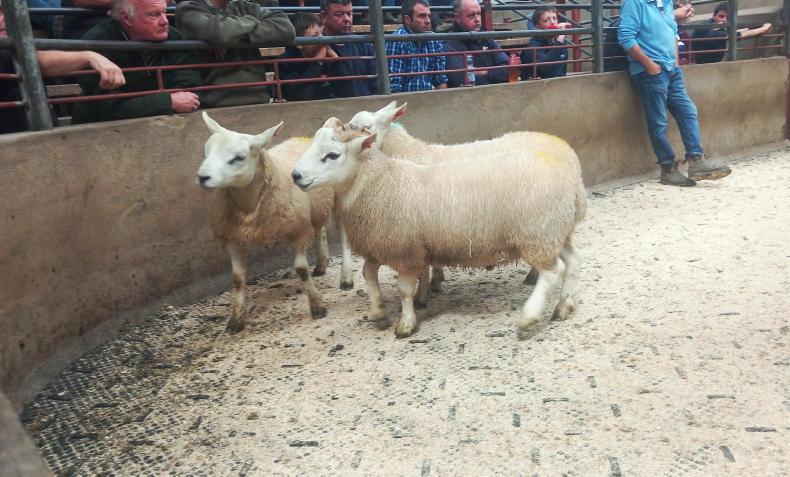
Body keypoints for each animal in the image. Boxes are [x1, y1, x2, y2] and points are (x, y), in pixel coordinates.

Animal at [196, 112, 353, 333]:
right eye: (207, 151)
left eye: (239, 157)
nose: (202, 177)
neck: (249, 206)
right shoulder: (232, 238)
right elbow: (237, 278)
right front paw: (236, 319)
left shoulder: (298, 230)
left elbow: (301, 270)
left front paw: (317, 305)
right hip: (315, 205)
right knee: (319, 228)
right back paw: (322, 264)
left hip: (340, 195)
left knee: (342, 231)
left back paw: (346, 278)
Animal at [291, 119, 586, 338]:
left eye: (332, 155)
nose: (295, 175)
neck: (381, 182)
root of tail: (574, 184)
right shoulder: (382, 245)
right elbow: (368, 274)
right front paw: (378, 312)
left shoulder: (405, 250)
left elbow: (404, 289)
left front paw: (406, 323)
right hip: (555, 233)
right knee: (573, 262)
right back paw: (564, 307)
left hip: (537, 235)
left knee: (553, 273)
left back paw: (529, 318)